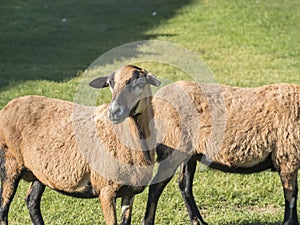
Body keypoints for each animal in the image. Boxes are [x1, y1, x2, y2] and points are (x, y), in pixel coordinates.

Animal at [0, 65, 161, 225]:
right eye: (110, 83)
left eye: (139, 83)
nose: (114, 111)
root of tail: (8, 106)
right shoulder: (106, 190)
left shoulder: (130, 192)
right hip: (9, 163)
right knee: (3, 208)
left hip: (39, 172)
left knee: (32, 201)